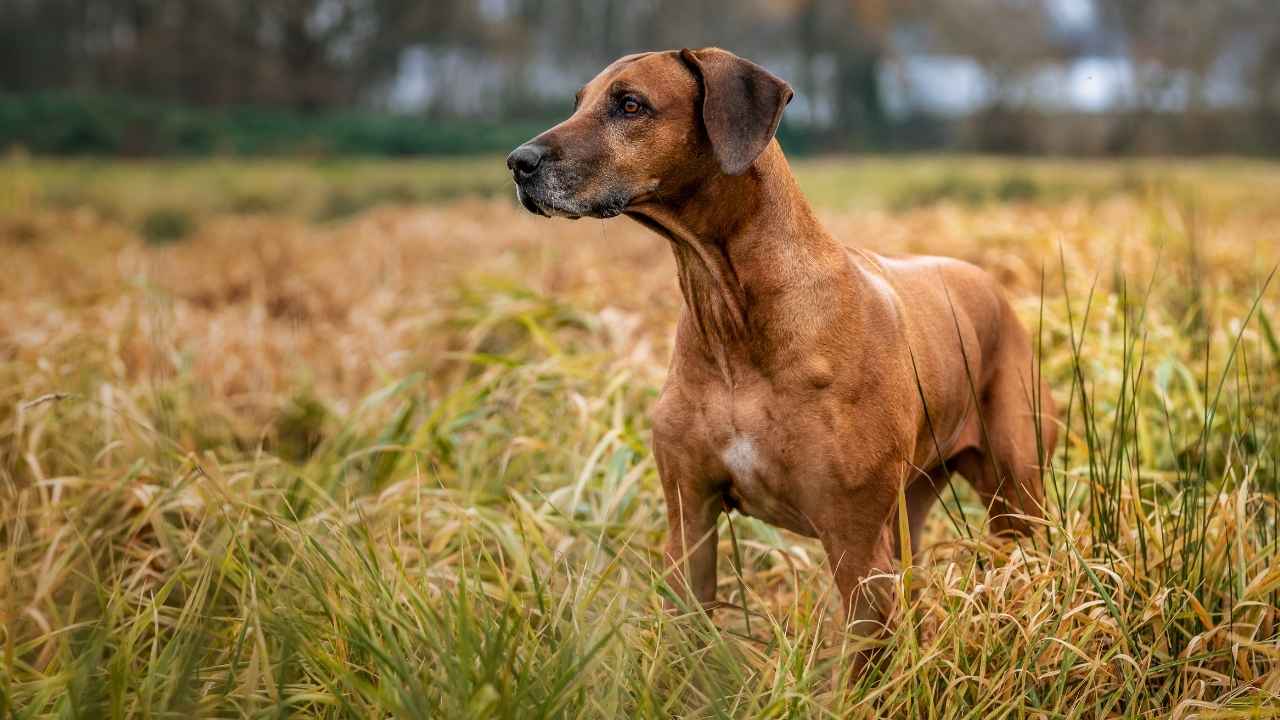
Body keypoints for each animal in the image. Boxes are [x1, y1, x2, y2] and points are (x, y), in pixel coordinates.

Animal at [504, 50, 1054, 640]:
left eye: (630, 104)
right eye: (577, 102)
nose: (518, 162)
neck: (731, 317)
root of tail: (991, 282)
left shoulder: (856, 539)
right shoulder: (689, 516)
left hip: (1014, 498)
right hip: (912, 506)